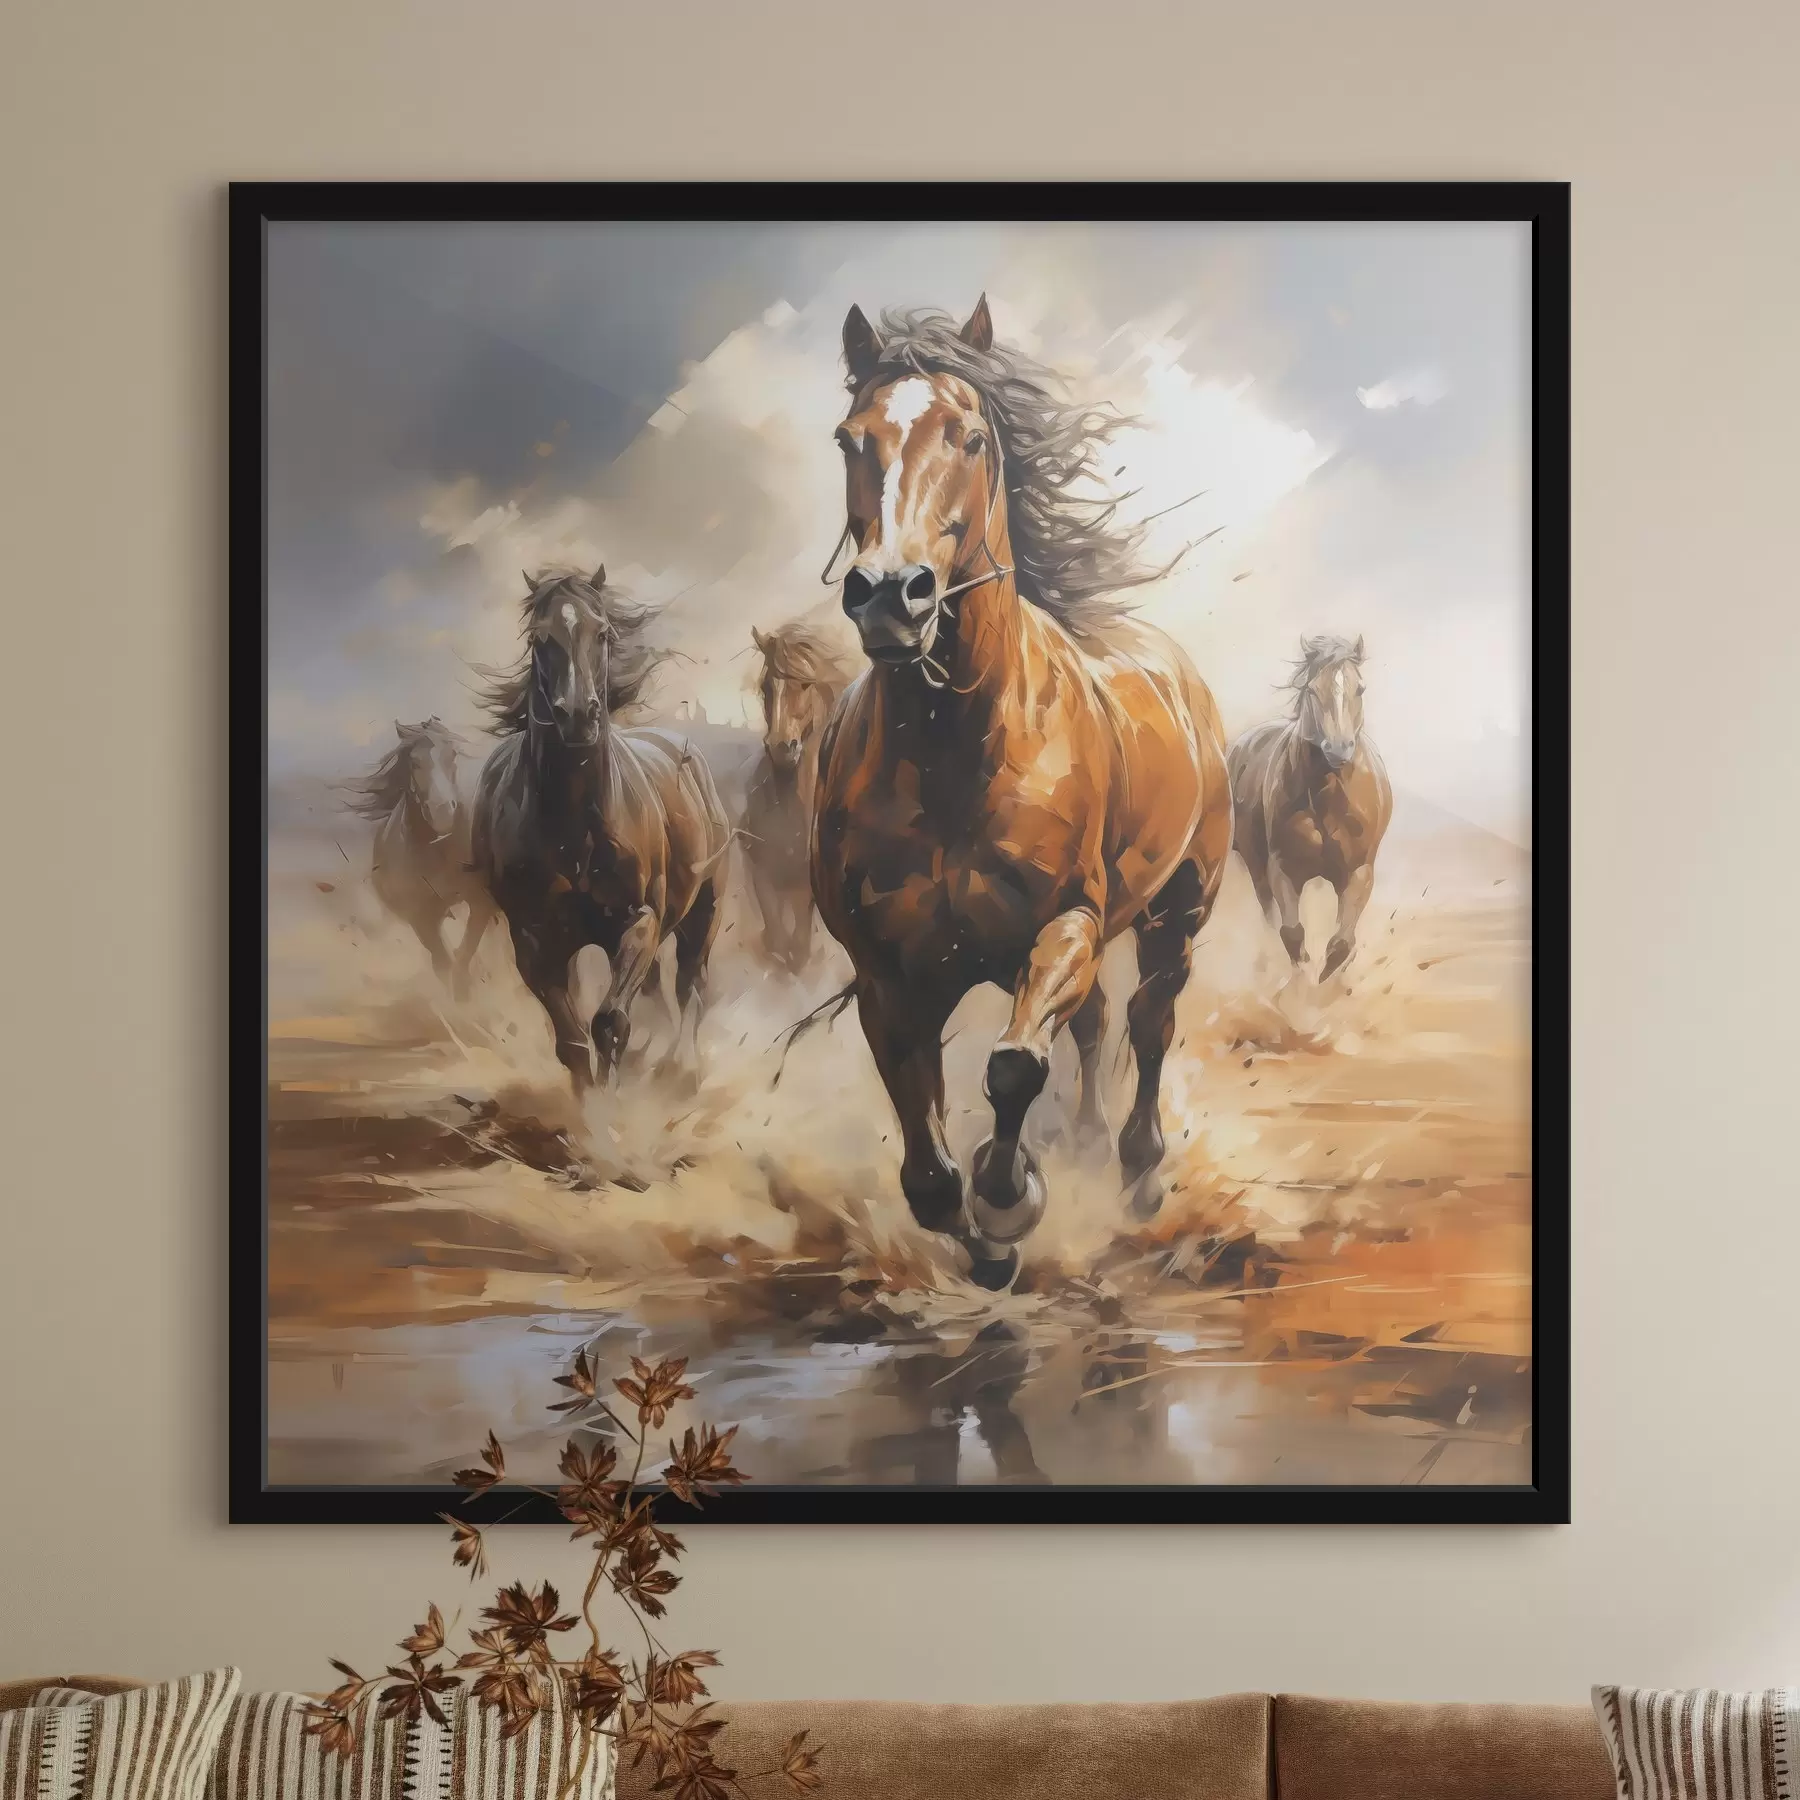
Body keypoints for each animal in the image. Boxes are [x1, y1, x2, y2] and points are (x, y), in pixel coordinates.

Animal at [342, 716, 493, 998]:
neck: (438, 852)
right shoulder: (419, 916)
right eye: (414, 762)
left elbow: (465, 951)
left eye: (452, 754)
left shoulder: (480, 901)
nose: (443, 812)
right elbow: (444, 961)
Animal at [470, 568, 731, 1094]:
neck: (575, 831)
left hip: (703, 914)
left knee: (690, 986)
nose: (577, 716)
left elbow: (610, 1023)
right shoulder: (535, 944)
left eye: (603, 633)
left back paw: (682, 1069)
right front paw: (588, 1105)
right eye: (539, 638)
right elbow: (571, 1041)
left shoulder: (639, 922)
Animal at [741, 620, 856, 974]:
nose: (781, 748)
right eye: (766, 687)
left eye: (805, 684)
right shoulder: (759, 868)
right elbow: (775, 930)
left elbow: (799, 941)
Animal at [809, 296, 1233, 1289]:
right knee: (1096, 1027)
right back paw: (1082, 1145)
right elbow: (924, 1153)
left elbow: (1009, 1070)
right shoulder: (887, 972)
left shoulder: (1066, 924)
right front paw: (978, 1235)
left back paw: (1138, 1172)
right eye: (849, 438)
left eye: (968, 436)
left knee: (1148, 1022)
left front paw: (1009, 1205)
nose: (891, 594)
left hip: (1178, 910)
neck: (954, 750)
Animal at [1227, 634, 1393, 981]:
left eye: (1360, 688)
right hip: (1255, 863)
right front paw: (1302, 977)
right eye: (1313, 689)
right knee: (1269, 916)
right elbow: (1291, 933)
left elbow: (1342, 942)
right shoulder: (1282, 869)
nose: (1339, 748)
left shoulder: (1359, 873)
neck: (1328, 797)